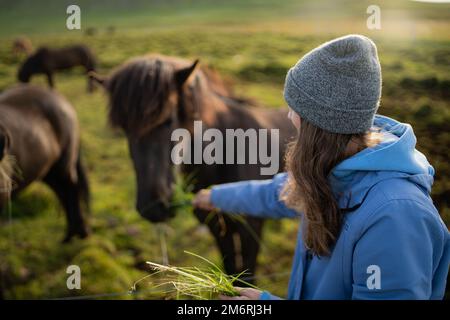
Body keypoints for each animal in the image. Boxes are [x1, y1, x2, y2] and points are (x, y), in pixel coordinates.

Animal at [0, 84, 90, 241]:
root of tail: (60, 98)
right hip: (48, 171)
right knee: (62, 193)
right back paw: (70, 235)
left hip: (63, 164)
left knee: (72, 189)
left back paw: (78, 234)